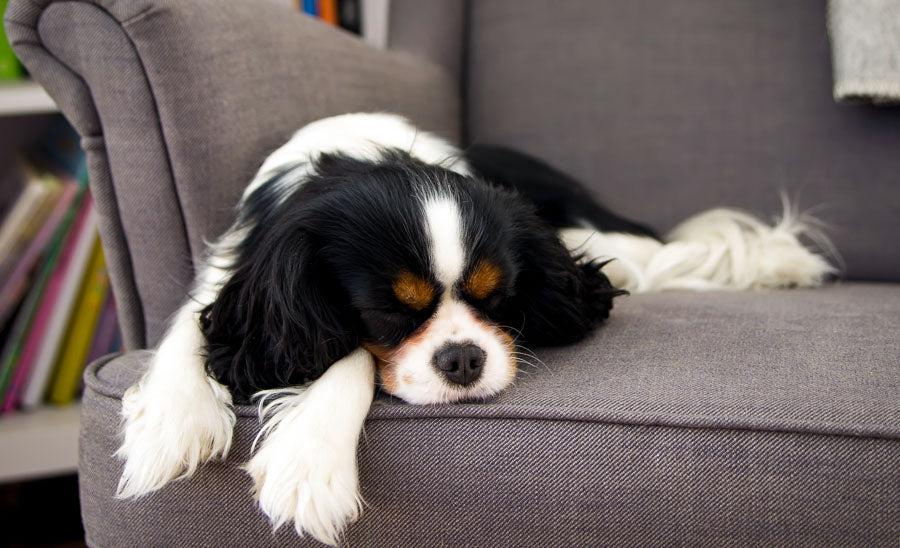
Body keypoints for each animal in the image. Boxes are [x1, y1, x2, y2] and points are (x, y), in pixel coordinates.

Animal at [114, 112, 836, 544]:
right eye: (390, 311)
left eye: (499, 300)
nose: (462, 358)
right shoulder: (240, 276)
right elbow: (193, 325)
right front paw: (174, 418)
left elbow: (350, 360)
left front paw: (311, 460)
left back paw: (781, 263)